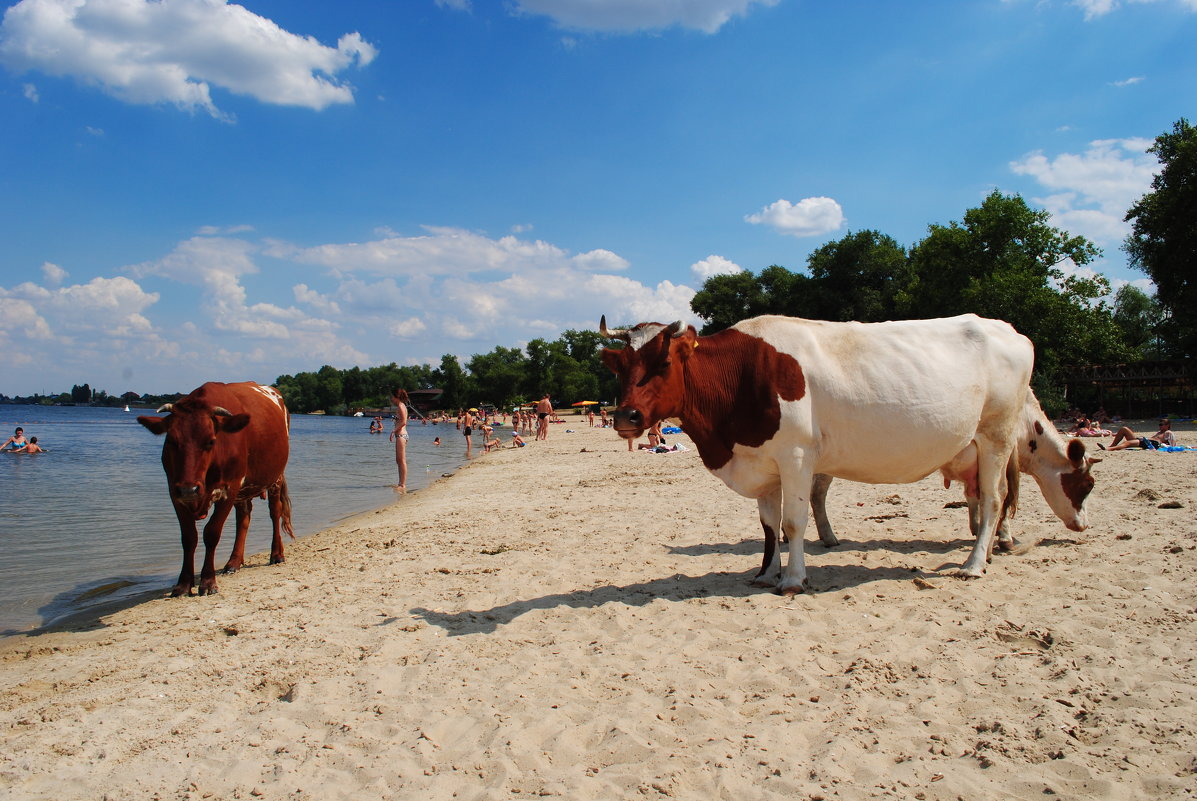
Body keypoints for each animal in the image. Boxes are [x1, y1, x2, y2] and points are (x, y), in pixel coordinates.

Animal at [136, 380, 292, 593]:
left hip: (275, 478)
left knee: (274, 512)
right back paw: (234, 562)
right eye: (172, 441)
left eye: (211, 441)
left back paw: (276, 553)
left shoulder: (230, 488)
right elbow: (188, 537)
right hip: (243, 491)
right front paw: (183, 584)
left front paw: (208, 581)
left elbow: (212, 533)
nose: (189, 489)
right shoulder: (174, 492)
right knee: (243, 517)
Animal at [603, 311, 1034, 593]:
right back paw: (987, 556)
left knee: (993, 499)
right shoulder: (762, 462)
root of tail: (1010, 330)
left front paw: (793, 579)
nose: (625, 415)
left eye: (663, 361)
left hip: (996, 436)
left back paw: (973, 564)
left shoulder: (795, 455)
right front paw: (766, 574)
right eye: (618, 367)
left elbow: (794, 523)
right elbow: (769, 525)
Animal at [809, 387, 1096, 550]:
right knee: (817, 494)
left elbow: (976, 495)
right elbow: (1005, 498)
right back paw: (828, 537)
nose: (1084, 525)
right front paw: (1003, 536)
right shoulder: (1003, 455)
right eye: (1089, 484)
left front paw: (978, 528)